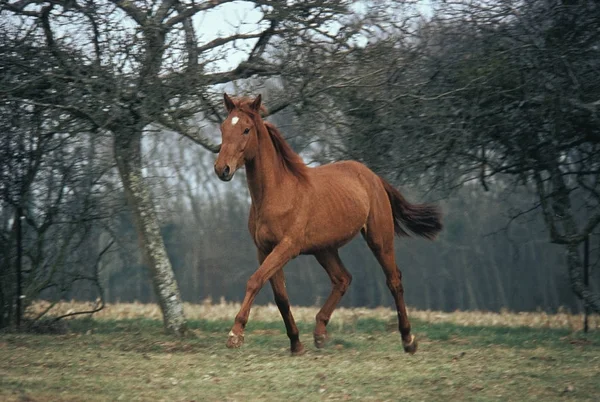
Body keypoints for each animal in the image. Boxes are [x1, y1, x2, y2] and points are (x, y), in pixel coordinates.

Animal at [213, 93, 442, 354]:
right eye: (223, 127)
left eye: (246, 129)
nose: (222, 169)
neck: (278, 193)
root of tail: (373, 177)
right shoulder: (264, 250)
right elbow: (280, 296)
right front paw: (296, 343)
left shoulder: (287, 247)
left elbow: (254, 281)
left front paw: (235, 334)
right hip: (324, 249)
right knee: (343, 279)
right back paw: (320, 333)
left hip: (378, 239)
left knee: (393, 280)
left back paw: (408, 340)